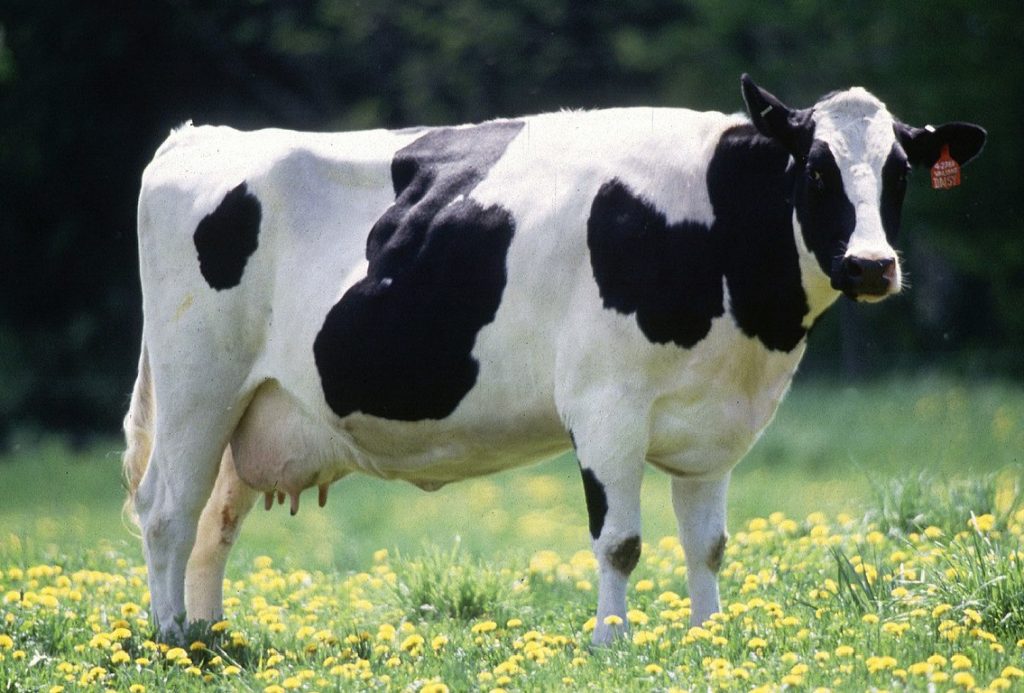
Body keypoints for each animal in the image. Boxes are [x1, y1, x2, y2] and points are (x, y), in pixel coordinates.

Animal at [123, 74, 985, 644]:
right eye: (815, 168)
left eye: (900, 171)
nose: (872, 265)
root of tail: (199, 136)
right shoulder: (606, 405)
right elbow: (621, 541)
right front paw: (612, 643)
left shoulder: (714, 425)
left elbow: (707, 543)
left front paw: (709, 638)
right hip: (198, 384)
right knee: (167, 509)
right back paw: (173, 640)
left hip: (252, 407)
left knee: (214, 520)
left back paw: (212, 635)